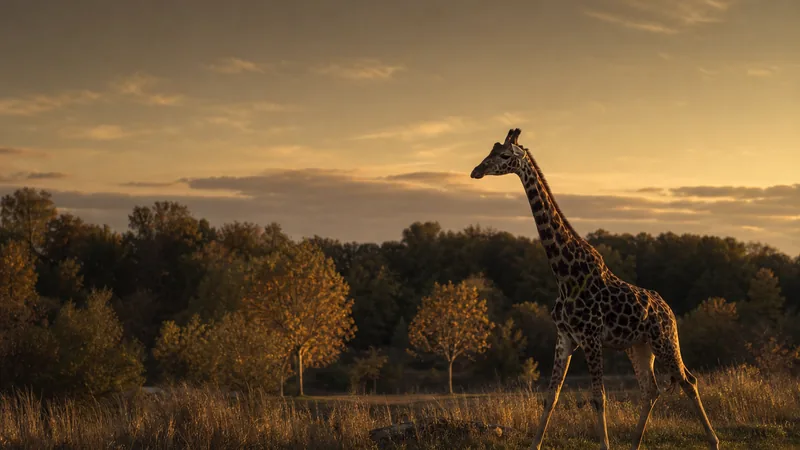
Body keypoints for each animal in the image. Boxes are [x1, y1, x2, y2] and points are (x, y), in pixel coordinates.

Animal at [470, 128, 719, 450]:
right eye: (490, 151)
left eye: (503, 155)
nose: (476, 171)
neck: (564, 274)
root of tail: (669, 310)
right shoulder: (564, 337)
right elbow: (550, 397)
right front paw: (535, 444)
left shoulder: (591, 338)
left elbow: (598, 398)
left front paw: (604, 444)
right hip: (639, 347)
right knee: (651, 390)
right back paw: (635, 445)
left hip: (665, 340)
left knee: (689, 381)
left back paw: (713, 441)